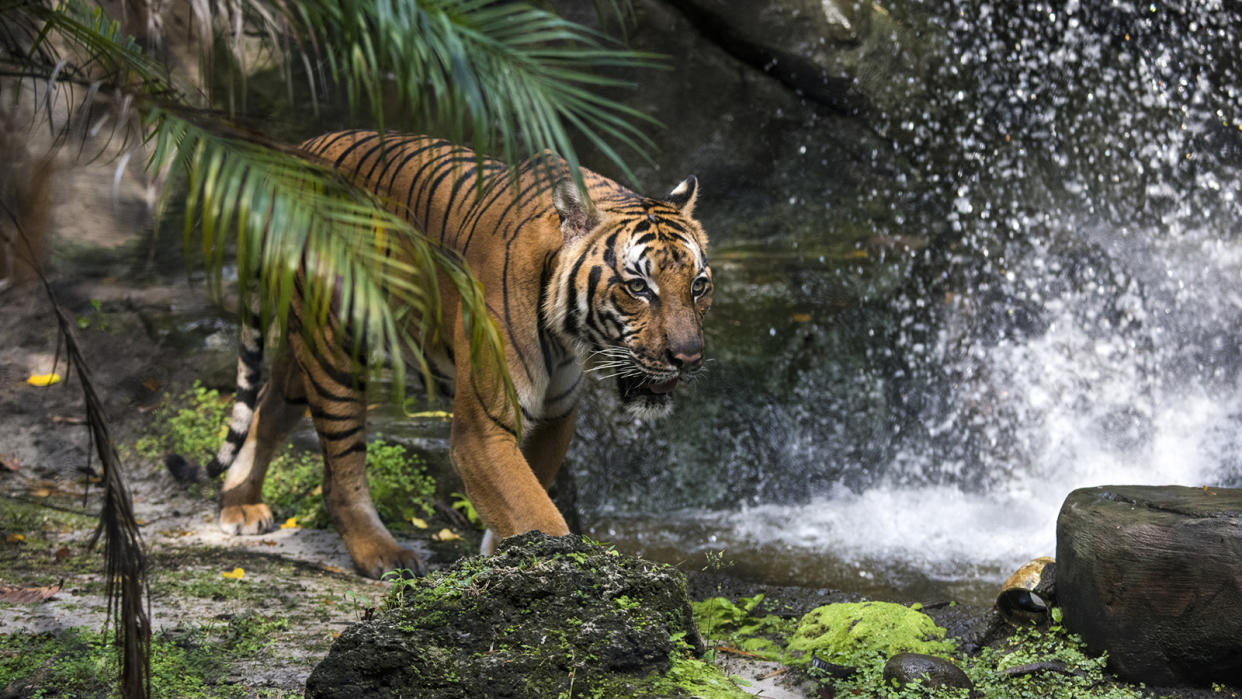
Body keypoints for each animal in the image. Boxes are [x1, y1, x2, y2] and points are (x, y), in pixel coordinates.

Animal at [198, 131, 715, 581]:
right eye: (638, 287)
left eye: (698, 286)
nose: (688, 357)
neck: (566, 335)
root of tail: (302, 147)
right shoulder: (482, 430)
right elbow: (537, 513)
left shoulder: (555, 415)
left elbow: (524, 507)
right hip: (335, 344)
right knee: (339, 469)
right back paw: (381, 553)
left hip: (303, 344)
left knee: (268, 404)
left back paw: (239, 504)